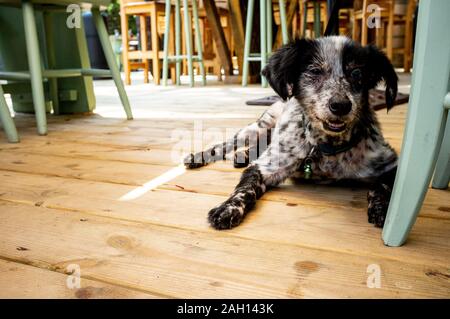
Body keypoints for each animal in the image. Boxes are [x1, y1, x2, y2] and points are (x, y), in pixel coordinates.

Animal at [185, 36, 400, 231]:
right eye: (314, 71)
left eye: (357, 73)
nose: (340, 105)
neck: (325, 147)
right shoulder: (265, 167)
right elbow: (244, 189)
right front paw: (228, 208)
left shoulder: (391, 163)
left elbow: (383, 185)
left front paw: (382, 208)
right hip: (256, 128)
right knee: (226, 144)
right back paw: (199, 157)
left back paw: (243, 156)